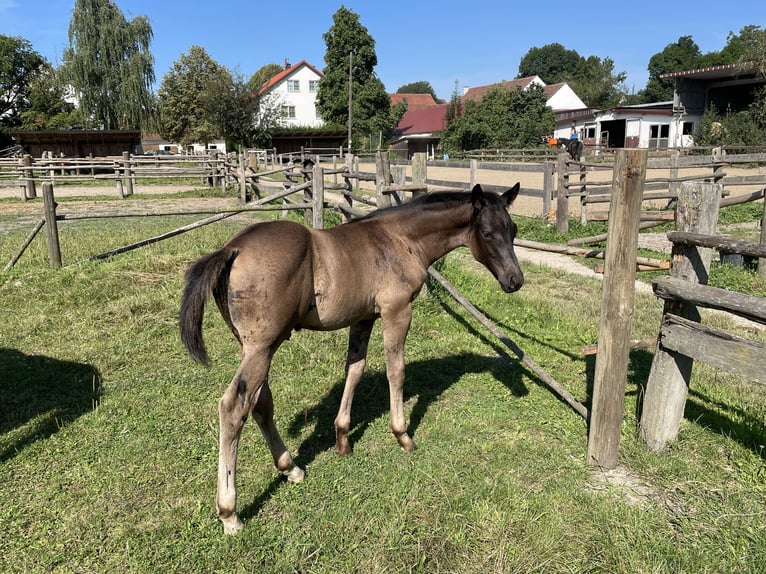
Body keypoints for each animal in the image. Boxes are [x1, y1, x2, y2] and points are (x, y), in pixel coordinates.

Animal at [182, 183, 528, 536]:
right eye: (487, 233)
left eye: (513, 230)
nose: (515, 280)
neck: (400, 239)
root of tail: (233, 249)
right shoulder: (397, 311)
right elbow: (396, 371)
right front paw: (403, 436)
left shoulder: (363, 318)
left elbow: (355, 369)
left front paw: (343, 439)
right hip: (262, 347)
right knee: (234, 406)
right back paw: (230, 513)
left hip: (255, 346)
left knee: (260, 402)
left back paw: (291, 468)